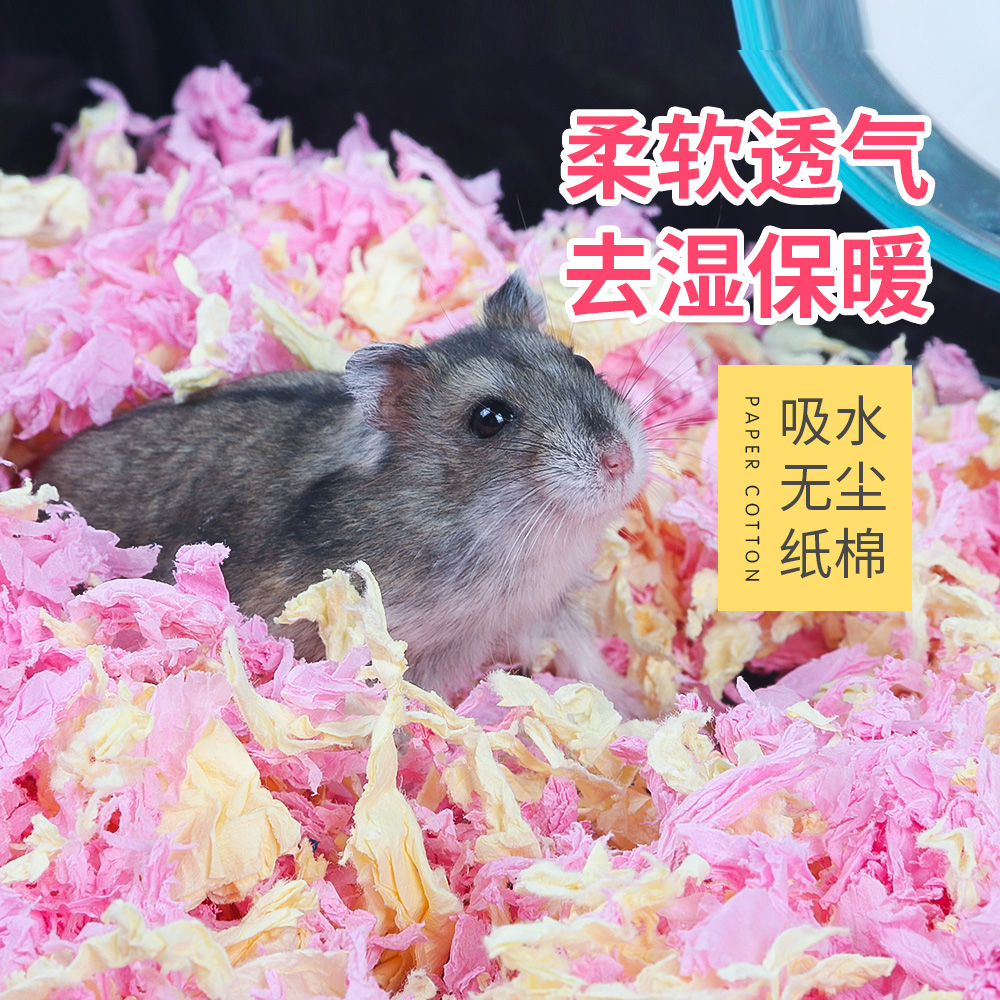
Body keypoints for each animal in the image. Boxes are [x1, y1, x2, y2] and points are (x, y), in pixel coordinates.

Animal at [39, 272, 650, 713]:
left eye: (583, 362)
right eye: (488, 419)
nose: (620, 460)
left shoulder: (548, 606)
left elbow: (585, 653)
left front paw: (641, 708)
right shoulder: (404, 652)